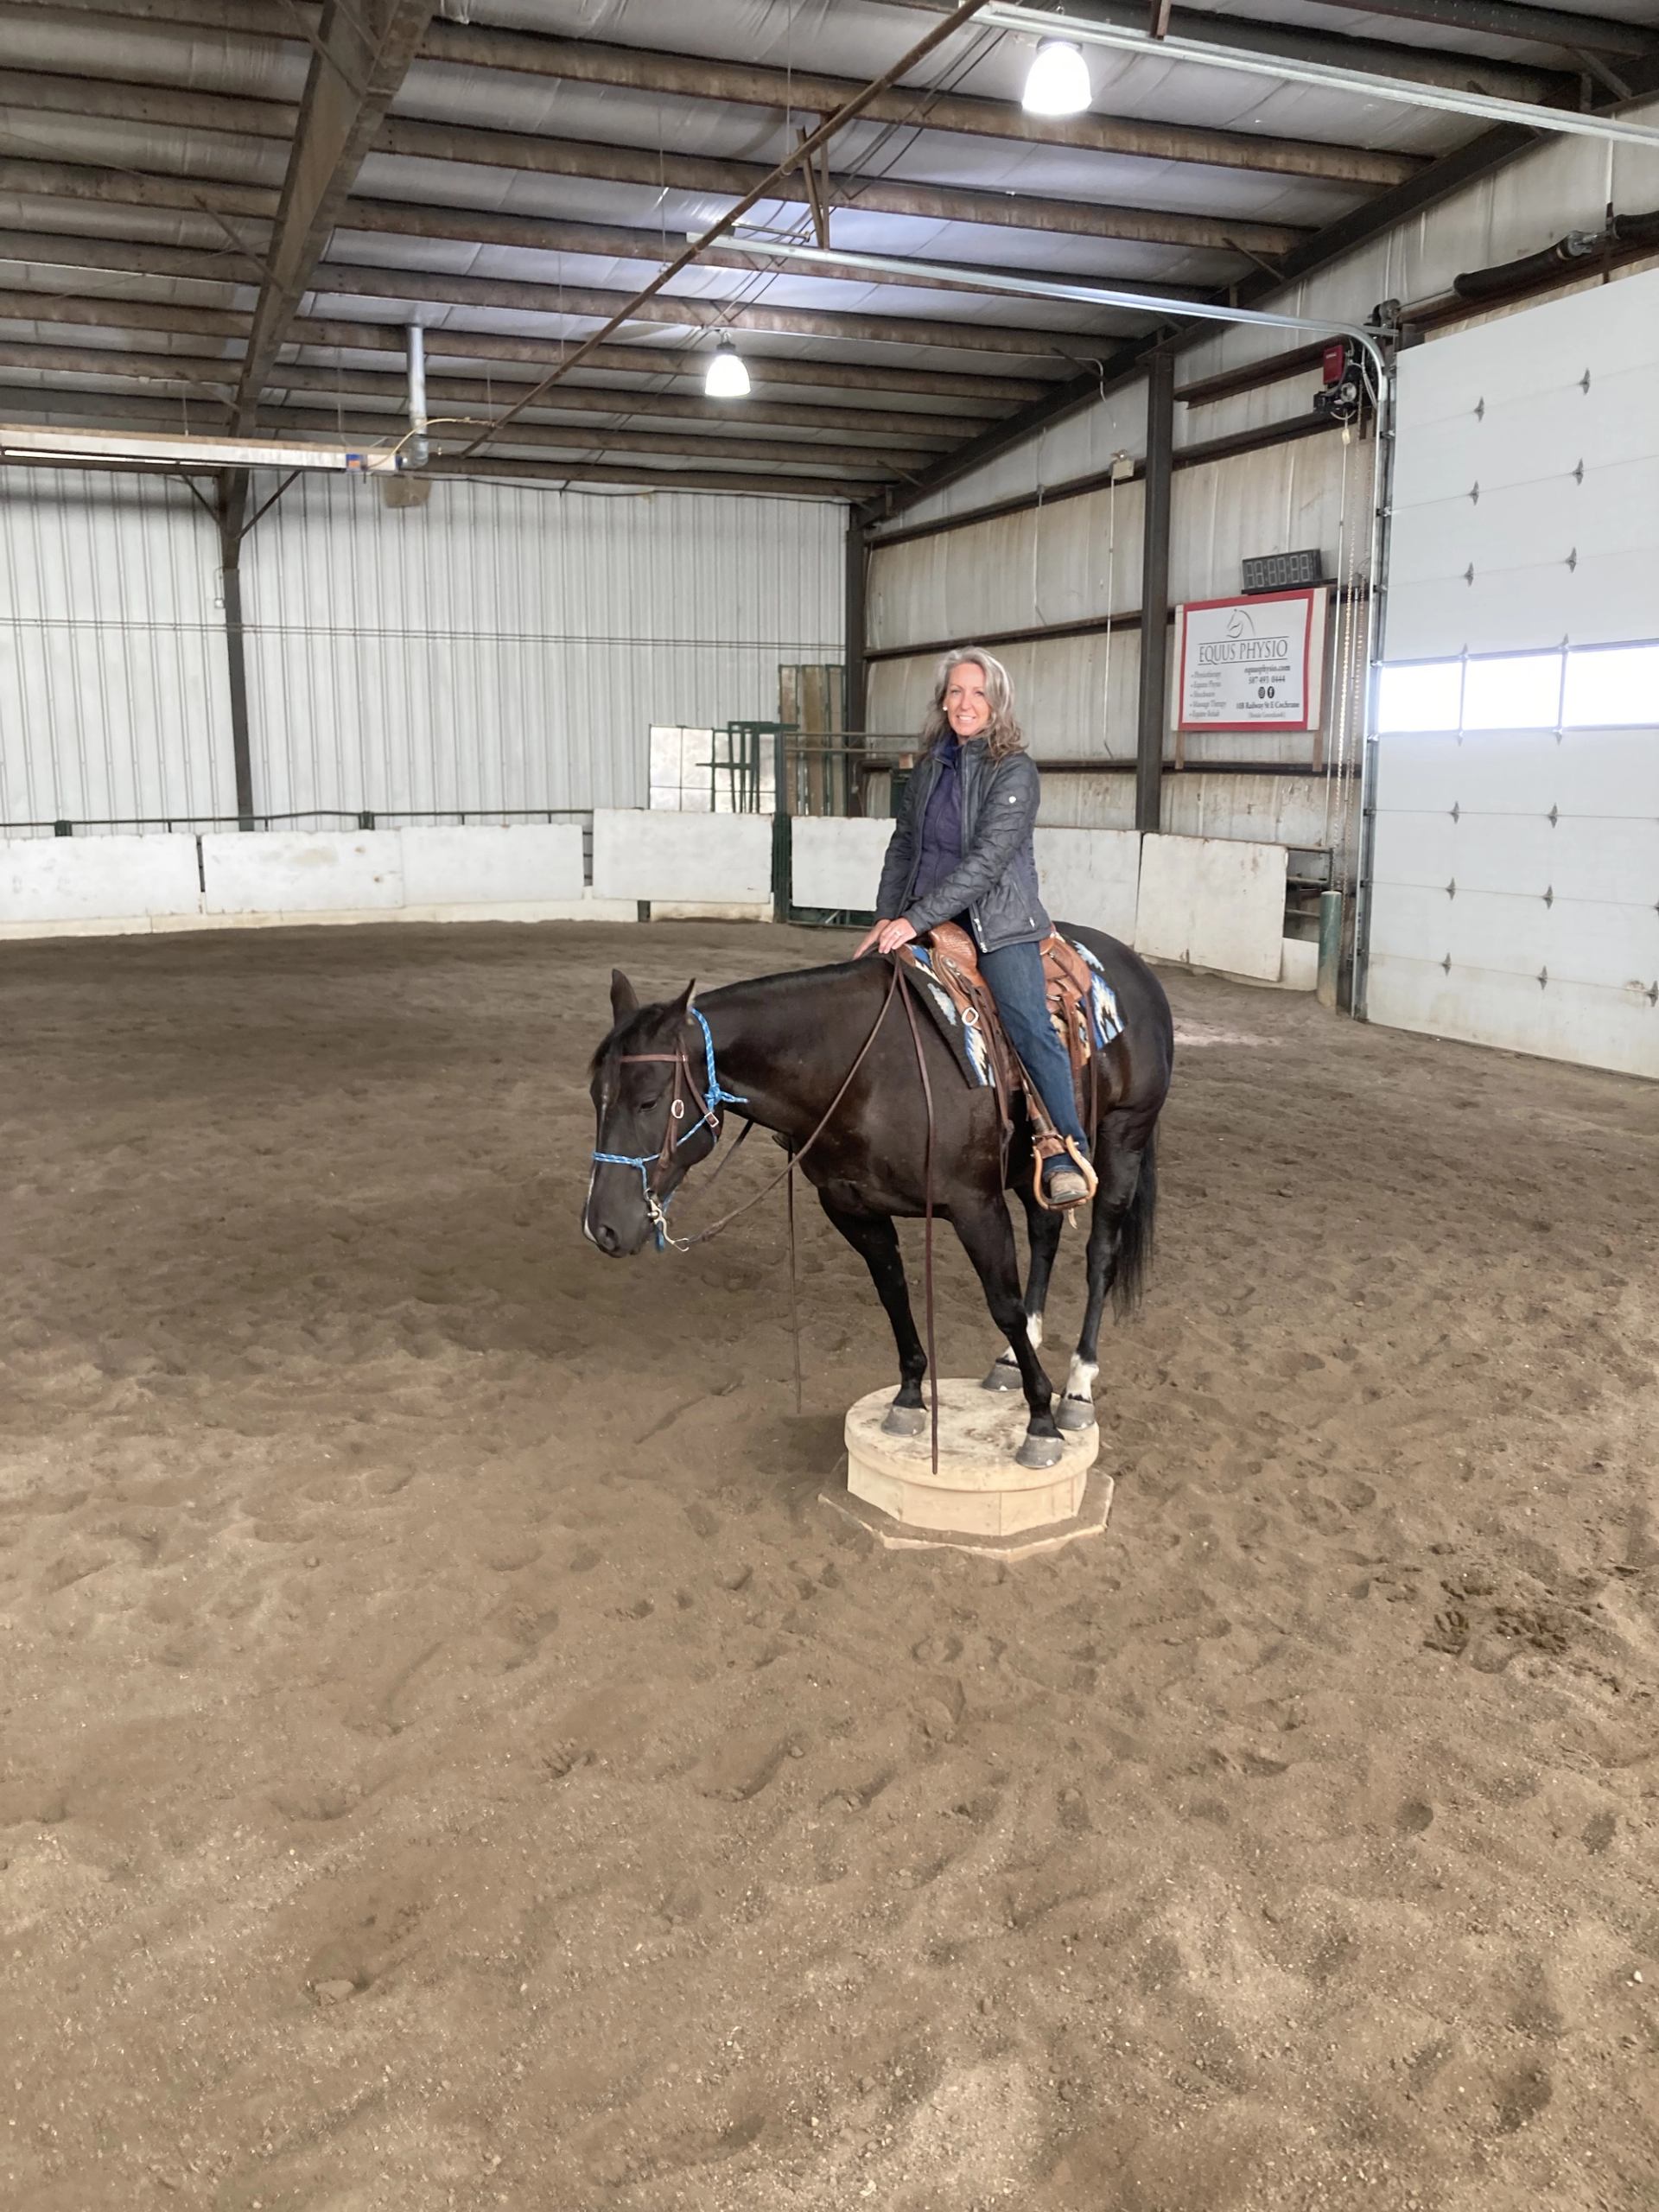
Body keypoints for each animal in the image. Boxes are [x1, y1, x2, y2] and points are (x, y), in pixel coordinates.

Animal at [583, 929, 1174, 1470]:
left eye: (649, 1100)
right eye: (596, 1096)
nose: (602, 1227)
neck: (863, 1073)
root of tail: (1131, 963)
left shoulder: (975, 1205)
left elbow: (1001, 1302)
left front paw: (1042, 1424)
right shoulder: (852, 1208)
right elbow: (893, 1291)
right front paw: (910, 1398)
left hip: (1125, 1137)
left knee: (1101, 1258)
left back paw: (1077, 1388)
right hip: (1034, 1166)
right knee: (1046, 1232)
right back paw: (1010, 1361)